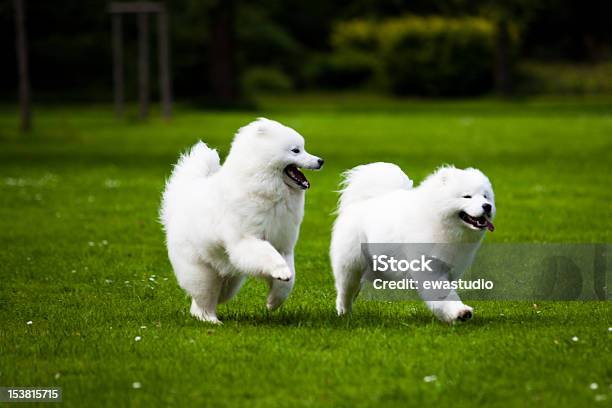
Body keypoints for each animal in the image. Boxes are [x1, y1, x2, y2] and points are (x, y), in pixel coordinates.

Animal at [161, 118, 326, 326]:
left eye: (303, 148)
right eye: (296, 150)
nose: (321, 161)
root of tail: (181, 196)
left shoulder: (284, 247)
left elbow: (289, 278)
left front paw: (274, 301)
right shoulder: (246, 240)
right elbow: (269, 255)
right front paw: (281, 271)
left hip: (229, 279)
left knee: (206, 299)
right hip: (202, 273)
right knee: (203, 299)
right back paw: (210, 320)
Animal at [328, 161, 494, 324]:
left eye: (485, 196)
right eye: (467, 196)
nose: (487, 206)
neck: (437, 220)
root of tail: (360, 202)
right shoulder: (429, 268)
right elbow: (443, 294)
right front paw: (460, 312)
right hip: (351, 265)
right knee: (345, 292)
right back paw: (344, 313)